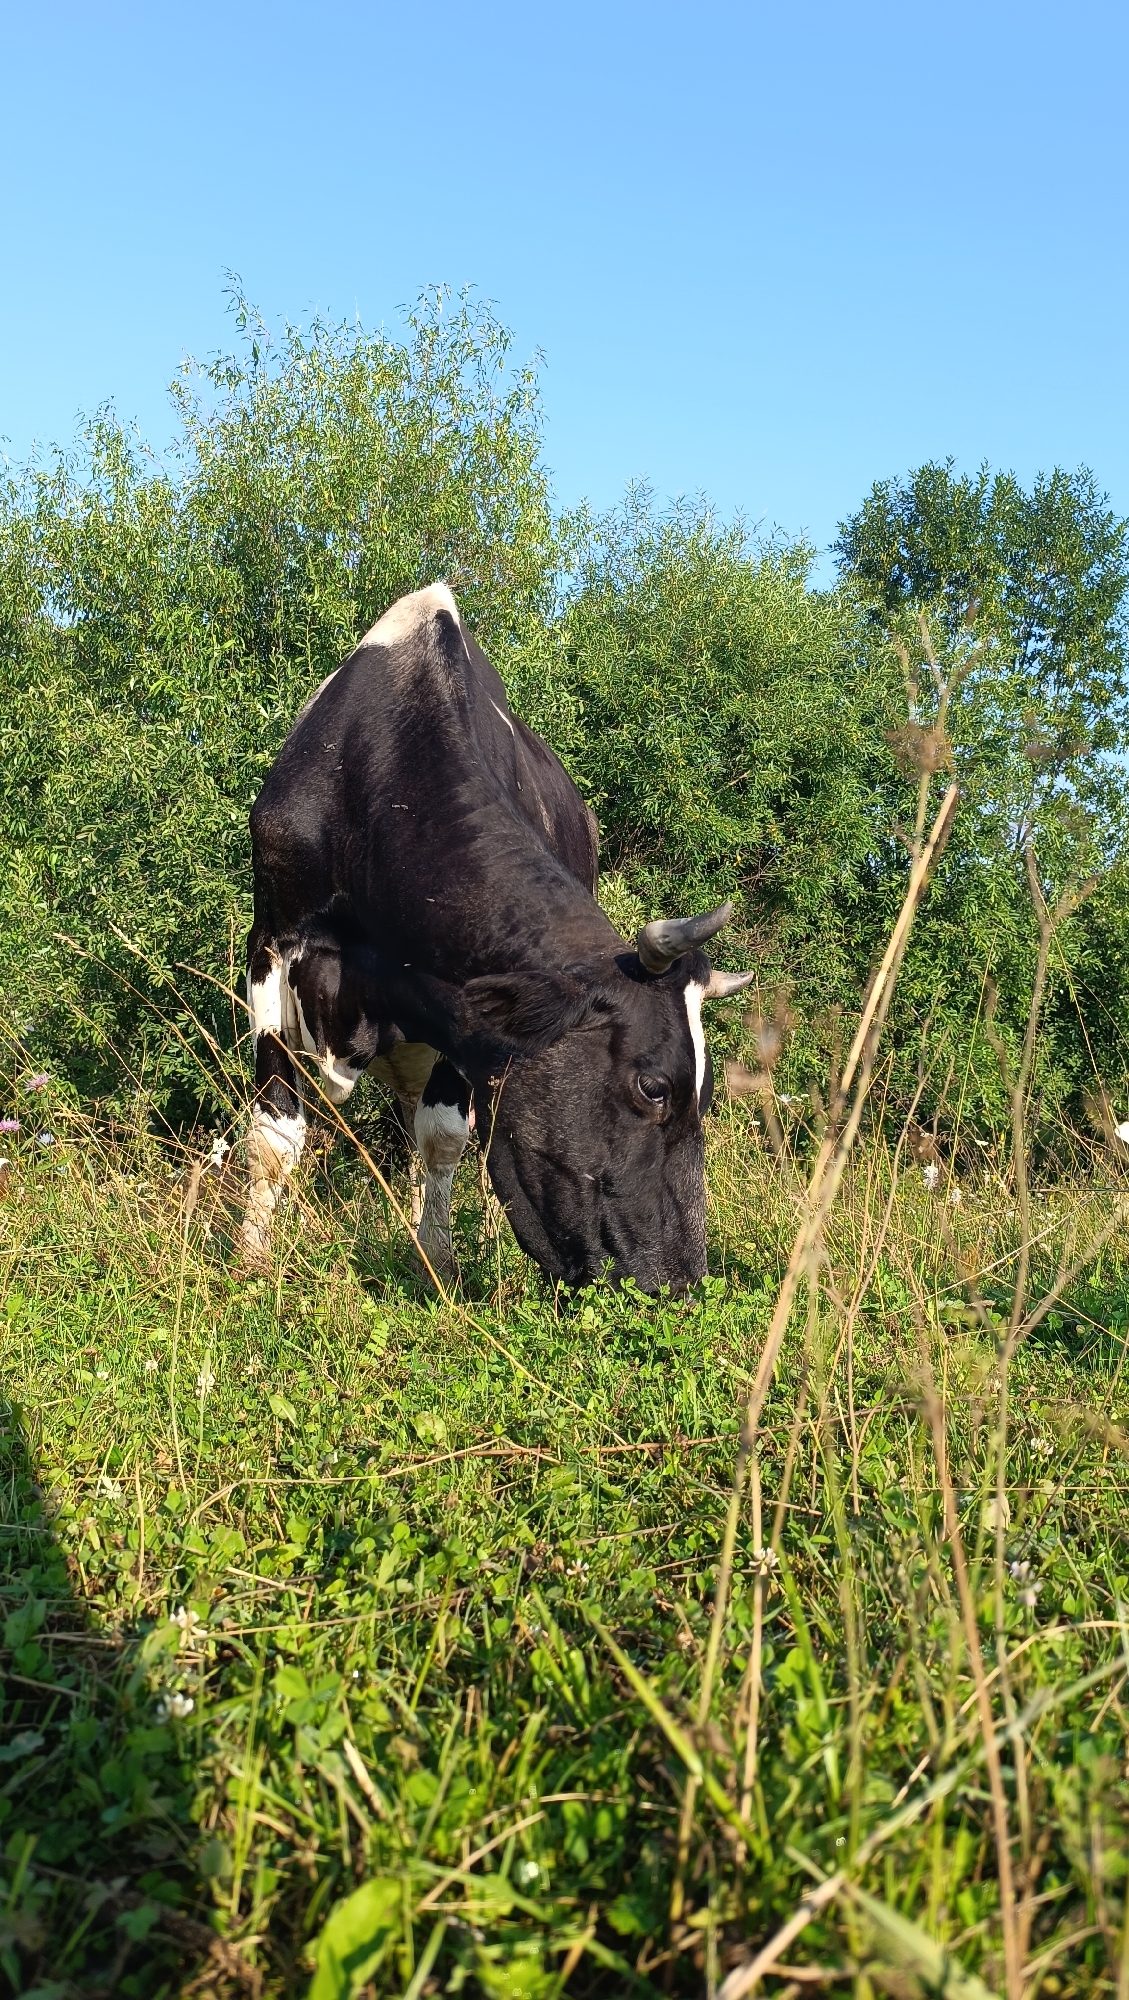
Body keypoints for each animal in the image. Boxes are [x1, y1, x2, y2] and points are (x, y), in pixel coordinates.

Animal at [240, 582, 753, 1289]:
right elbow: (273, 1136)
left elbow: (445, 1137)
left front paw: (439, 1263)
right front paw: (251, 1263)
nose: (678, 1281)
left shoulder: (459, 1009)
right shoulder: (271, 943)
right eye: (654, 1087)